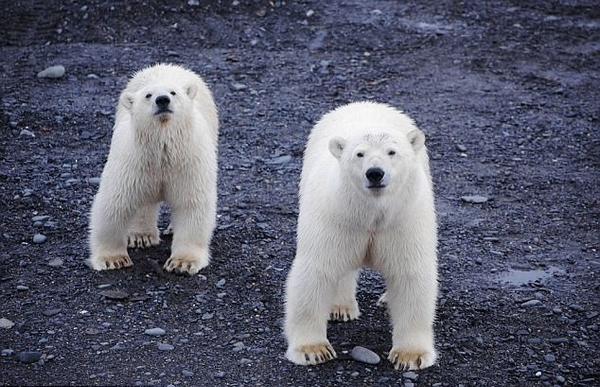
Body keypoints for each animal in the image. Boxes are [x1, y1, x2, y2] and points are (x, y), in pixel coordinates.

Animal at [88, 63, 219, 276]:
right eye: (148, 95)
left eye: (173, 92)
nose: (162, 99)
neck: (162, 150)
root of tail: (167, 65)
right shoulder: (132, 162)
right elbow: (115, 203)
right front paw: (113, 259)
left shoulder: (188, 163)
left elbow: (191, 204)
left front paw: (182, 263)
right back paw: (141, 235)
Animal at [284, 101, 438, 372]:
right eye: (359, 154)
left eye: (391, 152)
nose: (375, 173)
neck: (372, 213)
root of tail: (364, 103)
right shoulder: (337, 216)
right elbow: (317, 269)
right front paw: (313, 350)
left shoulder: (403, 220)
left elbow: (410, 273)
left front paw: (410, 356)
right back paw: (340, 307)